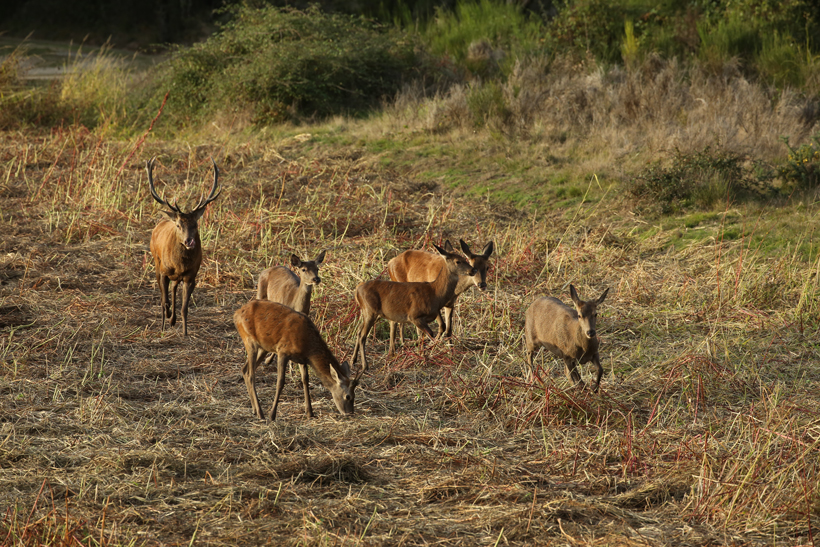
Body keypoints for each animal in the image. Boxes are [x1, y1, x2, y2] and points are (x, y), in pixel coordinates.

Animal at [146, 158, 219, 336]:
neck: (180, 264)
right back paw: (168, 319)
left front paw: (185, 333)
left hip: (177, 276)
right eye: (179, 225)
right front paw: (164, 324)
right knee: (164, 294)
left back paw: (173, 320)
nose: (189, 242)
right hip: (156, 263)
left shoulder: (191, 276)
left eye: (196, 224)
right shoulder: (163, 271)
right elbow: (164, 301)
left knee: (174, 287)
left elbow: (185, 308)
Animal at [350, 243, 478, 372]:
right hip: (370, 311)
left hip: (371, 313)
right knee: (362, 336)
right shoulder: (414, 315)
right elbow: (429, 333)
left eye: (464, 258)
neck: (435, 293)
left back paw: (353, 361)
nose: (473, 270)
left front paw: (422, 355)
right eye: (458, 261)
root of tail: (358, 289)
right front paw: (424, 354)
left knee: (358, 332)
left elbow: (423, 335)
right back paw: (365, 366)